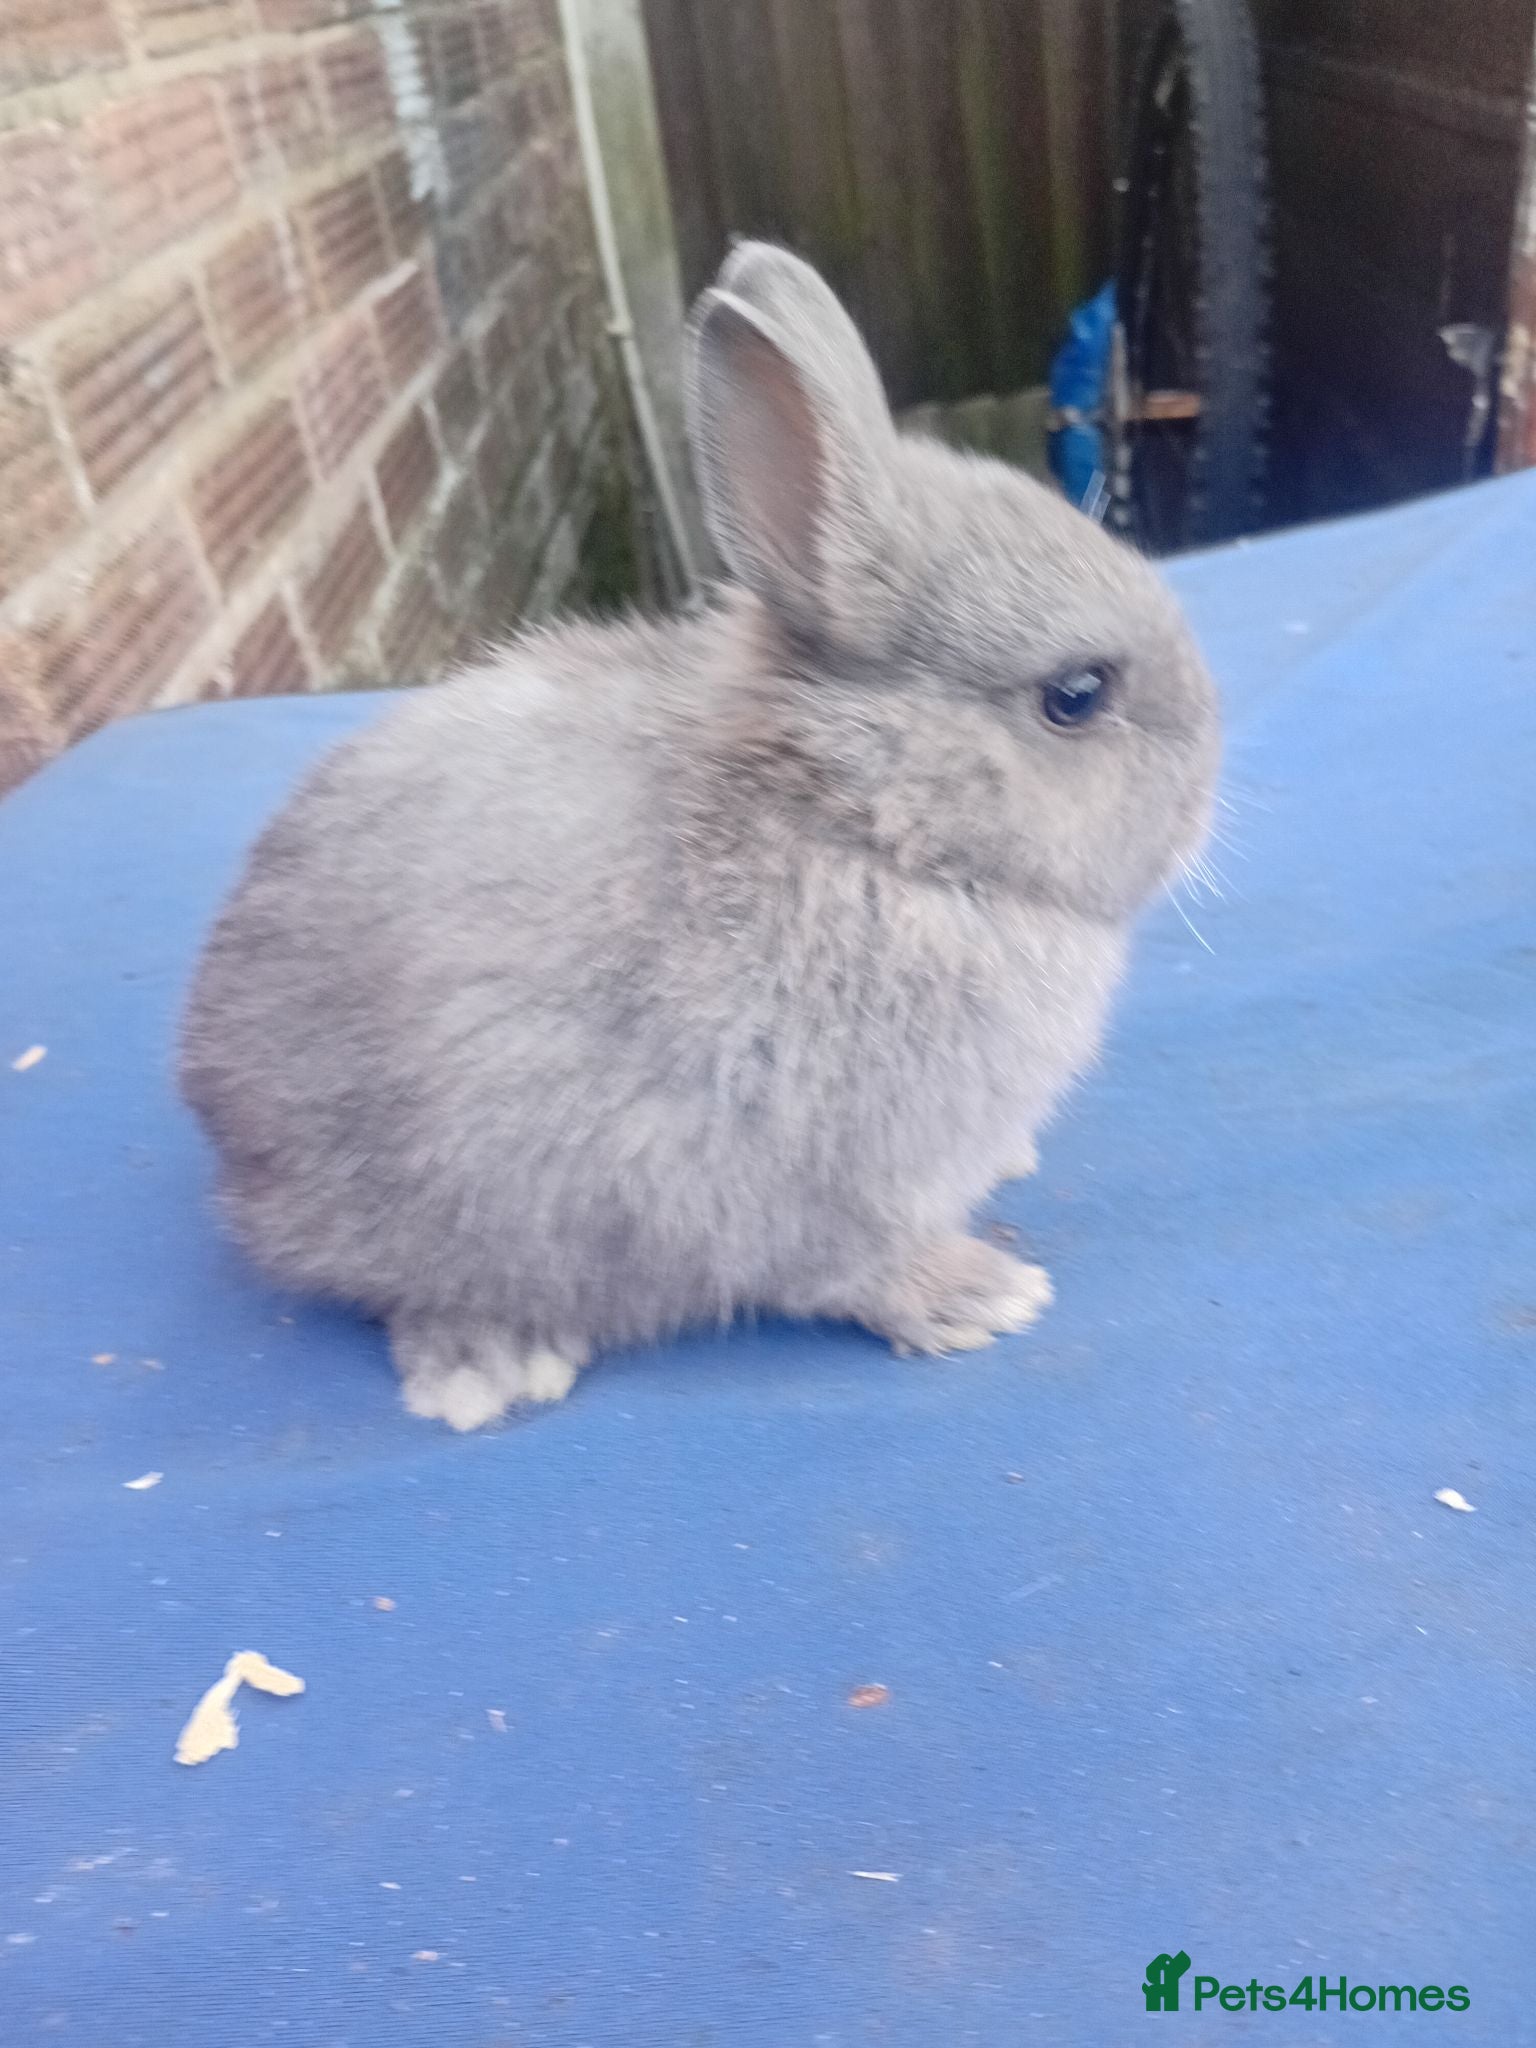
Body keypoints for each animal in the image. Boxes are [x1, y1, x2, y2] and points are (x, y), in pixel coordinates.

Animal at [180, 241, 1220, 1430]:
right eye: (1076, 696)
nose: (1208, 788)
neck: (864, 824)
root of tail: (221, 1124)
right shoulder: (809, 1174)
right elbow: (852, 1264)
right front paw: (985, 1298)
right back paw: (490, 1370)